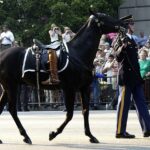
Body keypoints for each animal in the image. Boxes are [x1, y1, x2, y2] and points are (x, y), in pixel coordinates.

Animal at [0, 11, 127, 144]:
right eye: (106, 17)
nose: (124, 22)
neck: (78, 53)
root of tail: (2, 54)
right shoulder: (69, 89)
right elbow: (70, 114)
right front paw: (53, 133)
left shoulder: (84, 88)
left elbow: (85, 111)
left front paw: (90, 135)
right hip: (11, 86)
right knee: (12, 109)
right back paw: (25, 135)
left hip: (8, 87)